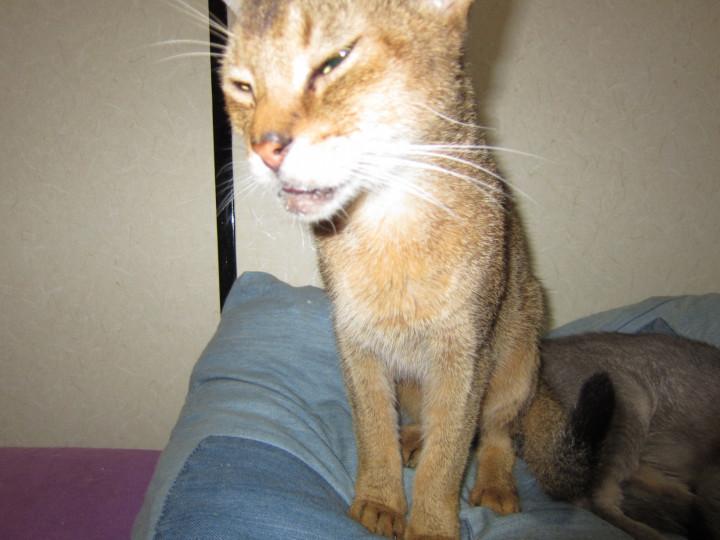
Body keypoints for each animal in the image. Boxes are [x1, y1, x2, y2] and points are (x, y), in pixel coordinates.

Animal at [219, 1, 571, 538]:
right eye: (241, 86)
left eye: (335, 61)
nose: (263, 147)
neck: (388, 229)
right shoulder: (356, 344)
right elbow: (373, 430)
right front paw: (380, 501)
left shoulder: (464, 357)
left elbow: (449, 455)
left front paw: (430, 525)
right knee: (421, 421)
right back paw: (412, 441)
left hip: (516, 358)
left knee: (495, 434)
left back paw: (493, 484)